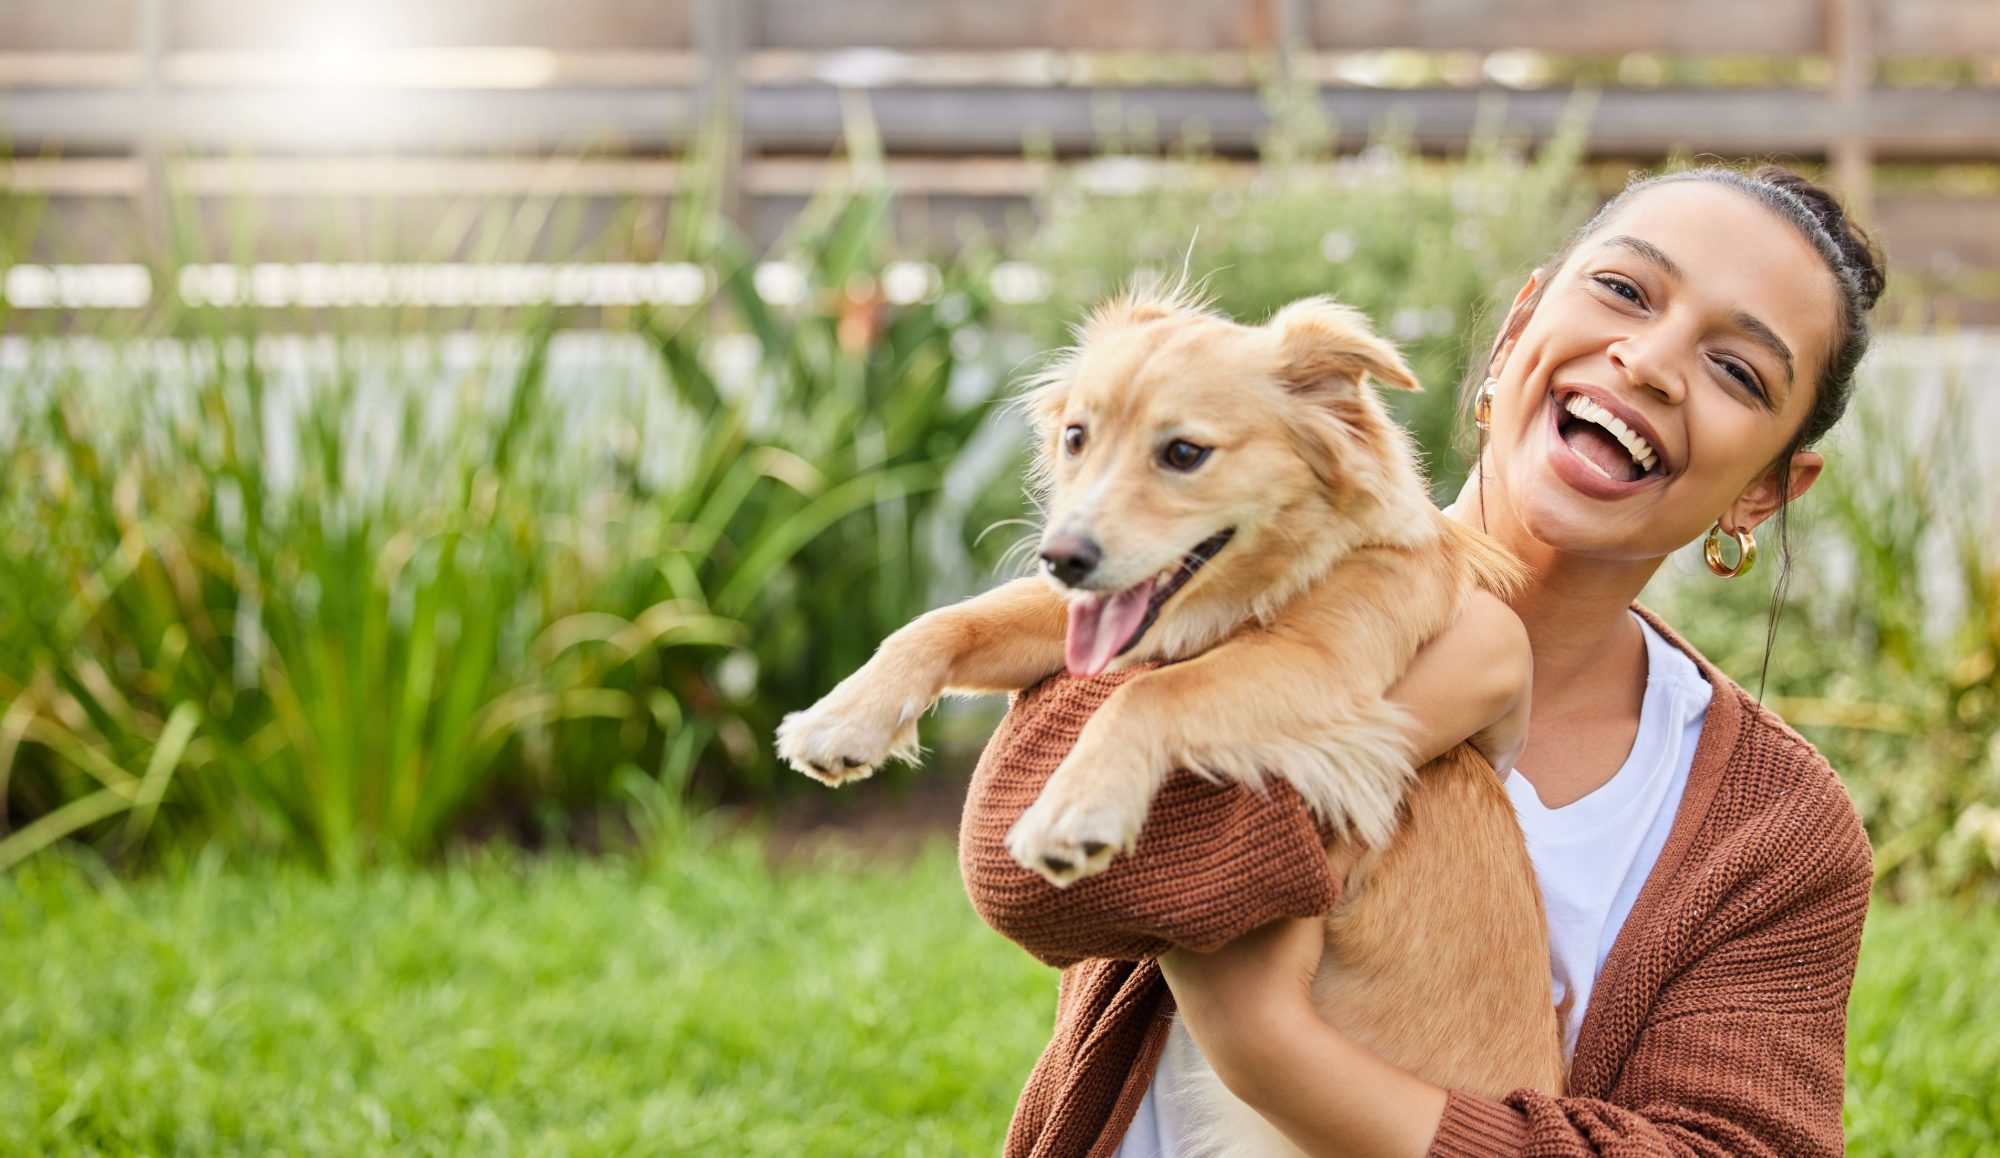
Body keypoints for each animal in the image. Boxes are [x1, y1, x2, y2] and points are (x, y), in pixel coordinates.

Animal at [772, 288, 1568, 1152]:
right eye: (1077, 437)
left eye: (1184, 454)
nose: (1061, 557)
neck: (1267, 583)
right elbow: (949, 619)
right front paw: (842, 717)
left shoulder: (1324, 667)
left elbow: (1149, 695)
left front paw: (1074, 810)